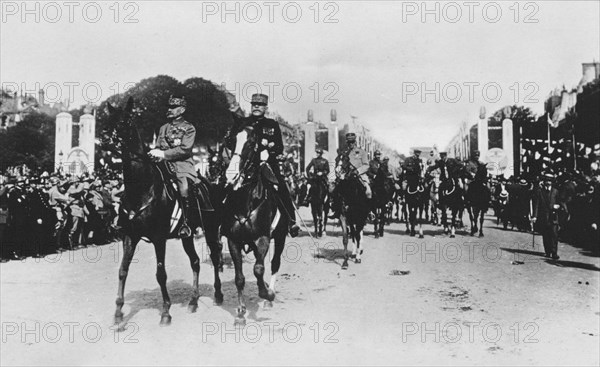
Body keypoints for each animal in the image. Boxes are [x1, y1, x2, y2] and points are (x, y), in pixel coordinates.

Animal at [104, 98, 224, 328]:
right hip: (187, 236)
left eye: (127, 119)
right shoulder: (129, 236)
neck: (142, 188)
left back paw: (218, 294)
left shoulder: (159, 238)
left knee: (214, 257)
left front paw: (166, 312)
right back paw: (193, 301)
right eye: (110, 119)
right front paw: (118, 313)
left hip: (212, 230)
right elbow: (122, 271)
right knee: (195, 261)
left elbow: (161, 274)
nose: (109, 141)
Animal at [209, 142, 288, 328]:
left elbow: (258, 269)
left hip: (280, 237)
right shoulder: (234, 241)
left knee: (274, 263)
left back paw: (268, 295)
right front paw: (240, 313)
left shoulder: (263, 238)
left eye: (251, 143)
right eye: (230, 142)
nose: (231, 174)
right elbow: (239, 278)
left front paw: (268, 294)